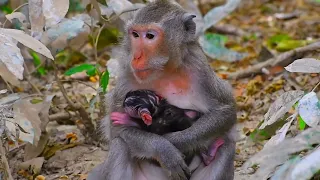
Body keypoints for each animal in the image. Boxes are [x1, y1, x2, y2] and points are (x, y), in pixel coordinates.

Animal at [89, 0, 236, 179]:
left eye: (150, 36)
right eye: (135, 35)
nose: (136, 57)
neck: (165, 70)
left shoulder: (199, 67)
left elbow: (224, 112)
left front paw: (174, 140)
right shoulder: (127, 76)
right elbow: (117, 131)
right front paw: (164, 149)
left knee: (226, 145)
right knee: (120, 145)